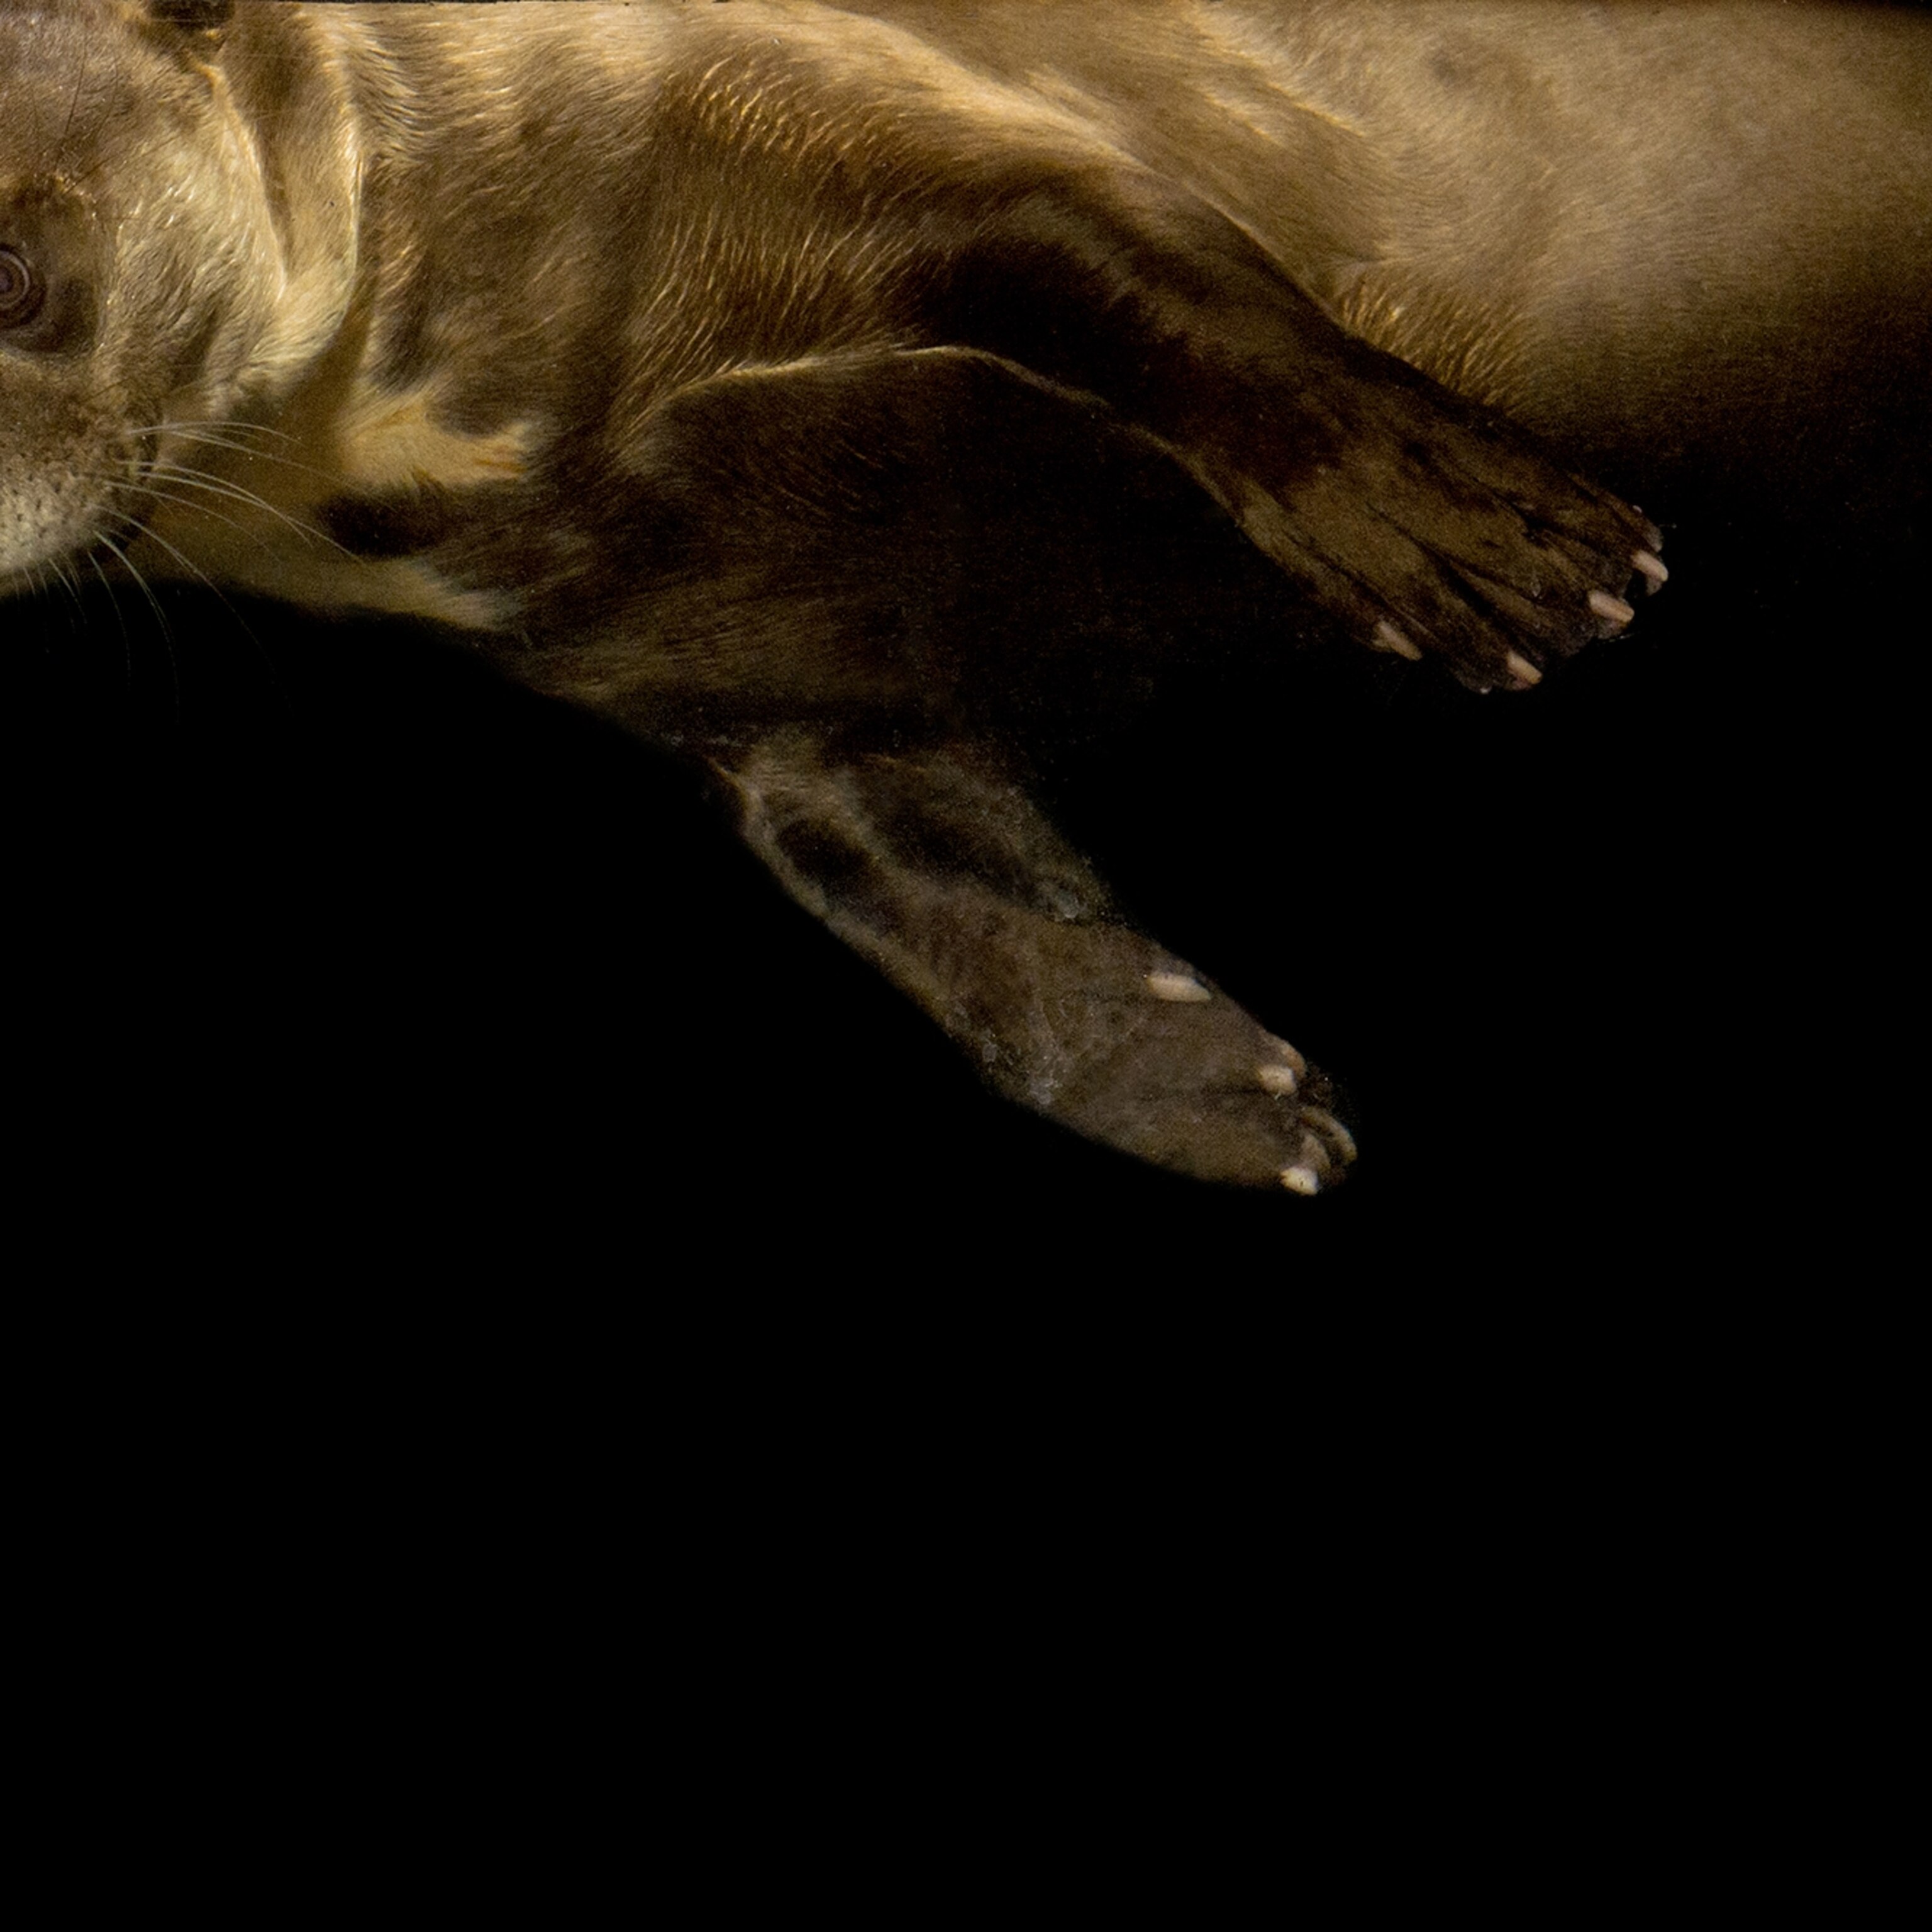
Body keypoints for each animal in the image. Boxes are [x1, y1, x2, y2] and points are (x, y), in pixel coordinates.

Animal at [2, 1, 1926, 1196]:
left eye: (12, 271)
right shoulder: (699, 660)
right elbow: (875, 861)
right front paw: (1196, 1079)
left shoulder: (796, 98)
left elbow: (1115, 257)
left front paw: (1443, 516)